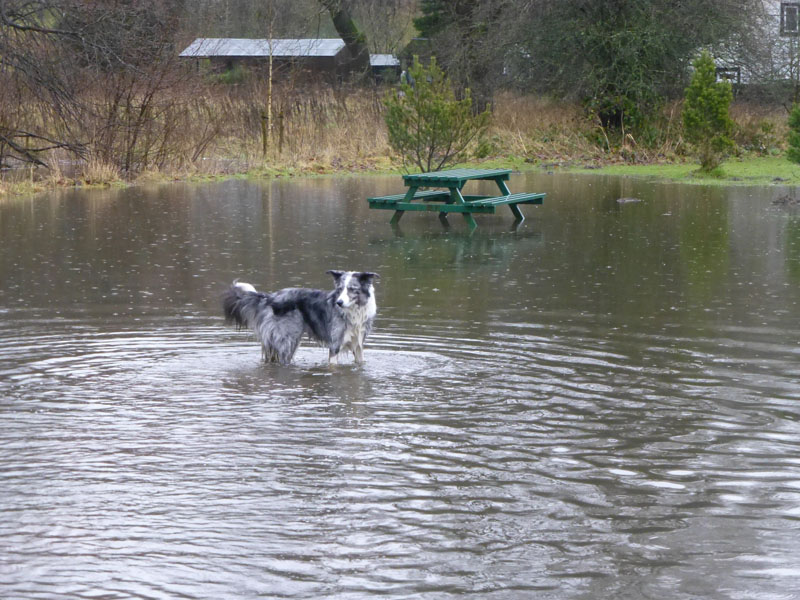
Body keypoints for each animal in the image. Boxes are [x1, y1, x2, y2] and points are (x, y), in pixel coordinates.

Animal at [222, 270, 378, 366]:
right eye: (339, 289)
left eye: (352, 289)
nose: (339, 302)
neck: (354, 311)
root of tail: (270, 298)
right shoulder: (335, 345)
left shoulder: (358, 344)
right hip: (287, 340)